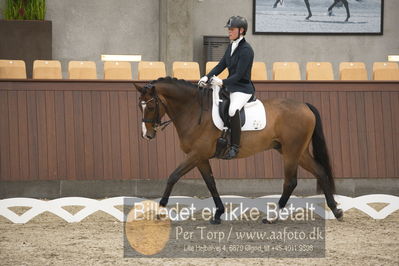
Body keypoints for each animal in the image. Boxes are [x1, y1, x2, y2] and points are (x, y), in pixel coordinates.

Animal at [135, 77, 344, 224]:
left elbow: (173, 176)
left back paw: (273, 217)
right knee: (320, 172)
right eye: (139, 105)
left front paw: (160, 211)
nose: (147, 134)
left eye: (151, 105)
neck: (194, 112)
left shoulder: (195, 155)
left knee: (291, 182)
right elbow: (211, 183)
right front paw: (218, 213)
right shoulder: (200, 158)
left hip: (292, 152)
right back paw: (335, 210)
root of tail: (305, 105)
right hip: (297, 152)